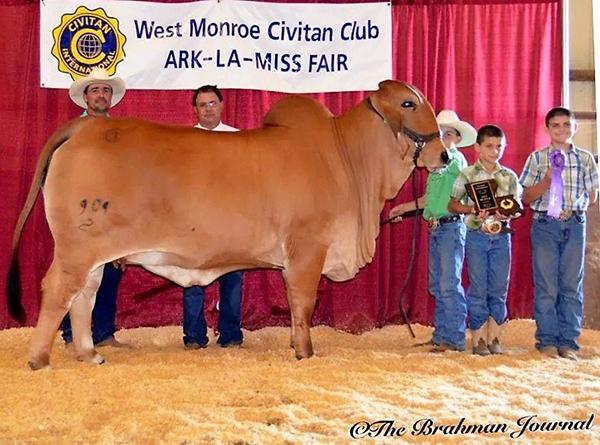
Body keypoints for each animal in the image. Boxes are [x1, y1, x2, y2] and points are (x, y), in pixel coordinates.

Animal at [4, 80, 446, 368]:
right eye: (408, 103)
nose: (443, 154)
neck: (346, 158)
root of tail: (86, 124)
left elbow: (296, 304)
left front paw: (294, 343)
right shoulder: (307, 247)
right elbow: (303, 301)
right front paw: (304, 352)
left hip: (92, 253)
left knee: (85, 295)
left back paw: (89, 353)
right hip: (76, 247)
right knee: (58, 291)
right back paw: (39, 358)